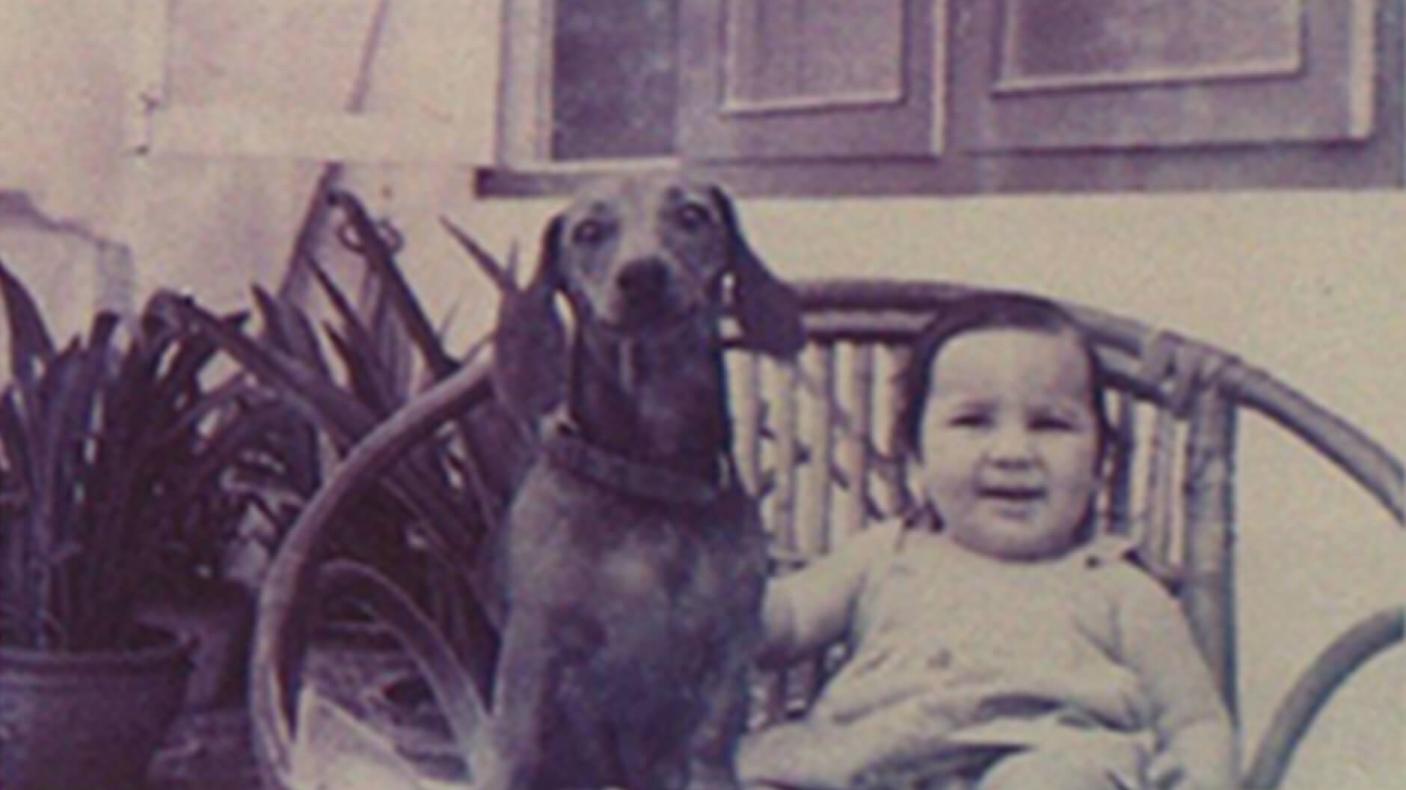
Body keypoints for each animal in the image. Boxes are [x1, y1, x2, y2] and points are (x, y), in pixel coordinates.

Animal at [483, 175, 809, 781]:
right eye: (588, 230)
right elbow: (519, 752)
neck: (652, 480)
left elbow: (708, 747)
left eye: (692, 215)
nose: (642, 274)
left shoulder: (726, 657)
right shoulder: (534, 656)